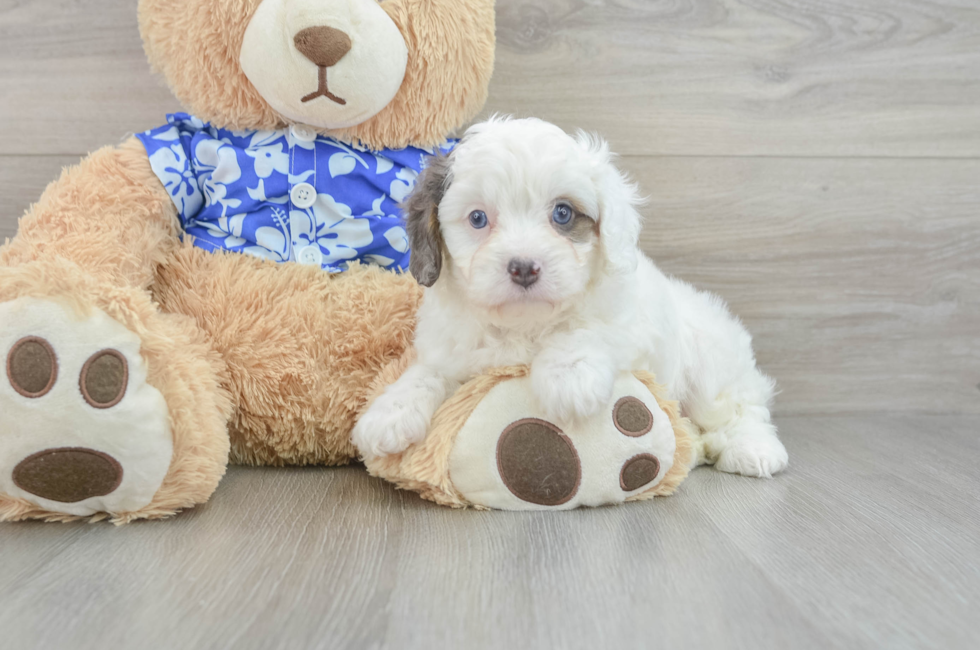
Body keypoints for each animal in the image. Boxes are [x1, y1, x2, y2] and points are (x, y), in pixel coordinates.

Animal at [352, 116, 788, 476]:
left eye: (563, 214)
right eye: (478, 218)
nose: (523, 267)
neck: (525, 324)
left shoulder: (632, 326)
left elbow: (586, 330)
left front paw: (567, 376)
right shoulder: (451, 349)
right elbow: (428, 373)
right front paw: (389, 412)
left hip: (710, 361)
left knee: (740, 406)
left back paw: (753, 449)